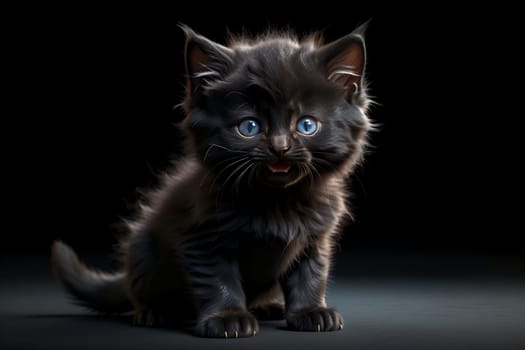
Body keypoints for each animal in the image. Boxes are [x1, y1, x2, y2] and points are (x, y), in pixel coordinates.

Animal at [51, 23, 372, 338]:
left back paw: (268, 306)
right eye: (249, 127)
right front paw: (227, 318)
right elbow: (218, 280)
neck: (277, 203)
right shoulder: (201, 237)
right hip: (144, 251)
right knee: (143, 292)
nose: (279, 147)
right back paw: (154, 313)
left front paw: (310, 312)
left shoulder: (316, 238)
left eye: (307, 125)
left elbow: (310, 275)